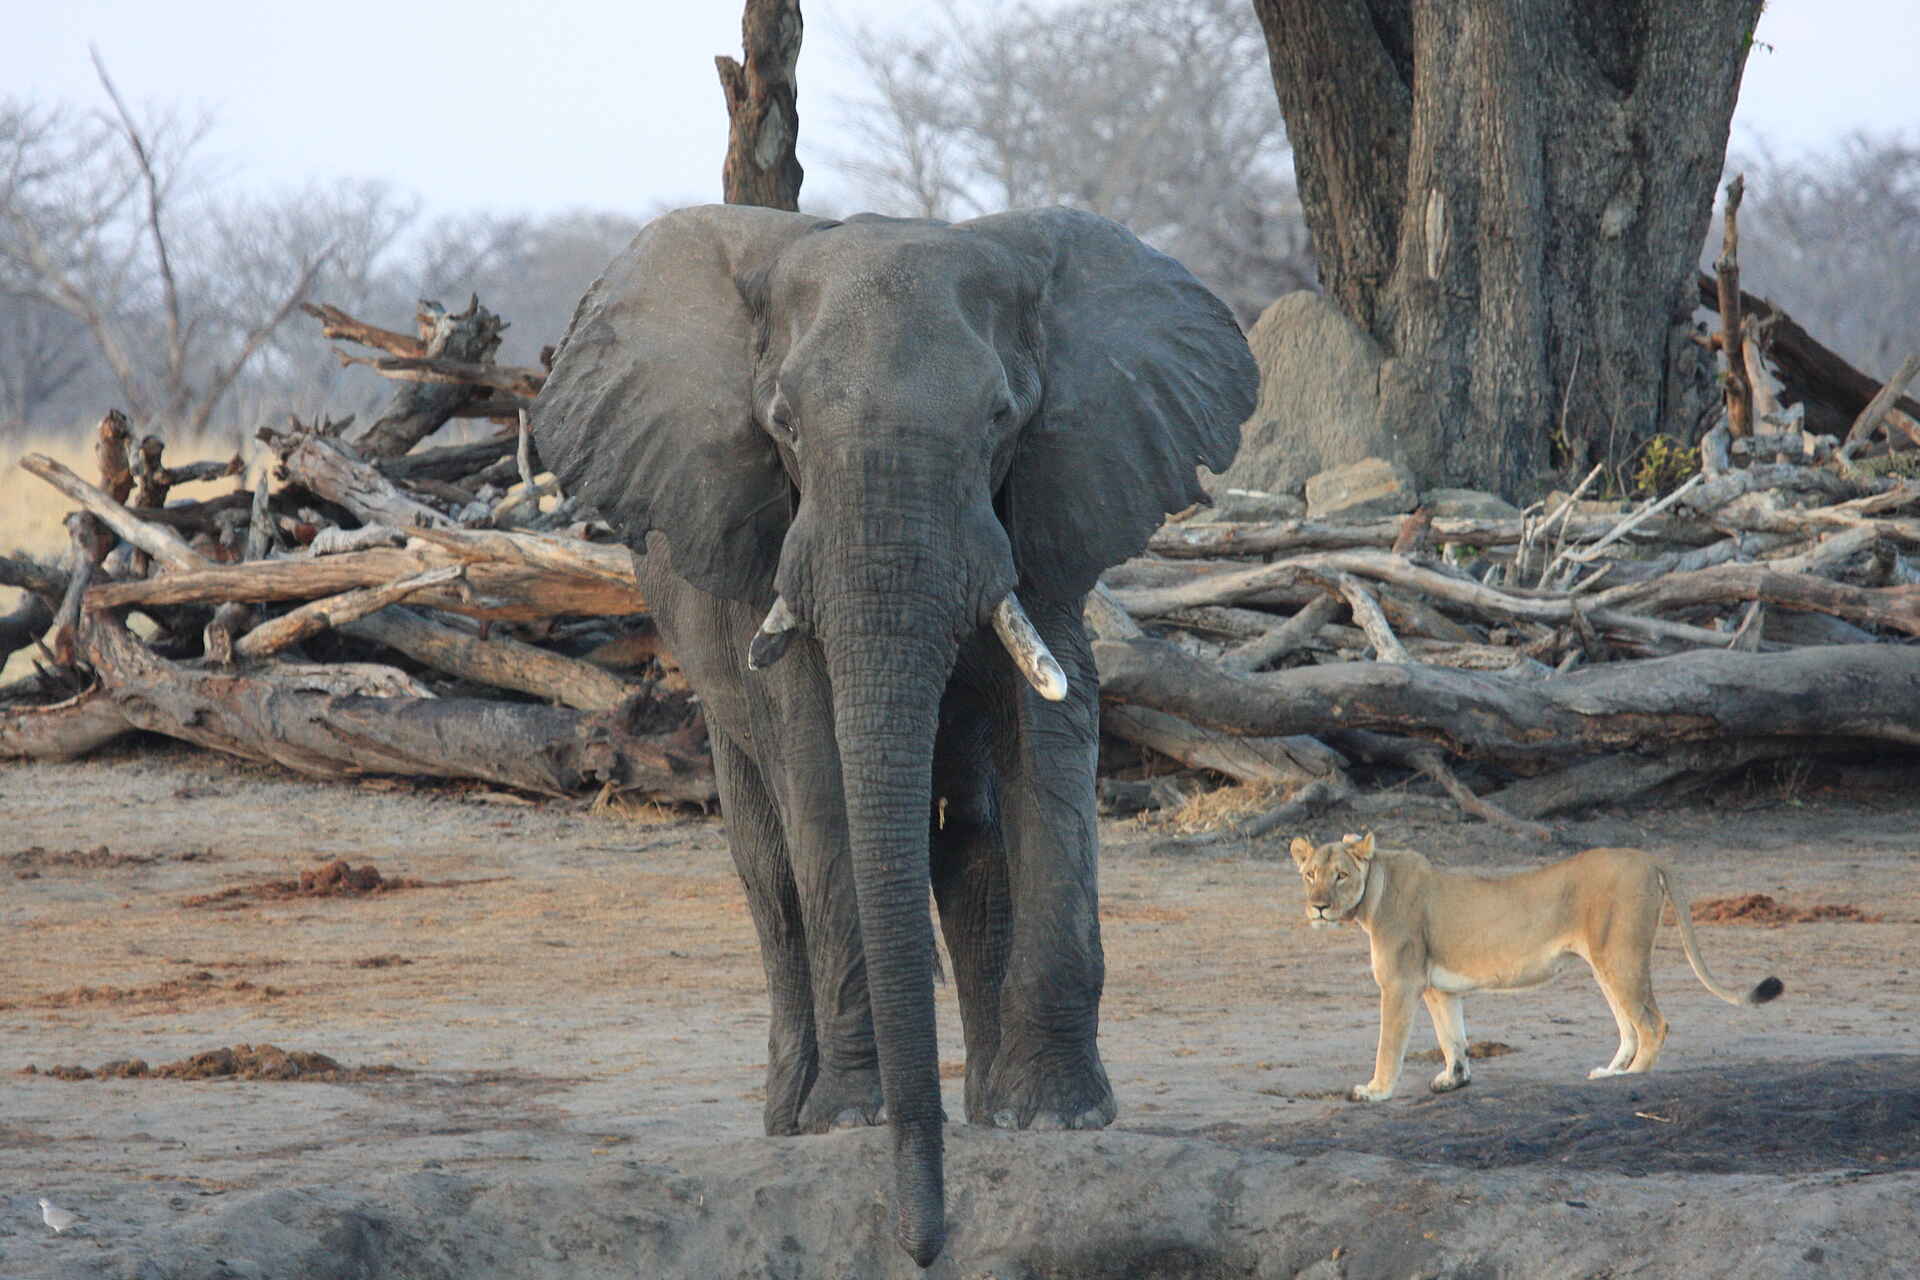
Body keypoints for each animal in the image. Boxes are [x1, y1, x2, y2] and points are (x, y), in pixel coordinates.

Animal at [532, 203, 1256, 1266]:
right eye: (783, 425)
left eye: (1001, 419)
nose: (922, 1246)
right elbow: (819, 768)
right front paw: (852, 1120)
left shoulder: (1048, 509)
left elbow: (1052, 740)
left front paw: (1058, 1121)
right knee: (770, 864)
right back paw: (790, 1119)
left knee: (968, 835)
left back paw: (989, 1107)